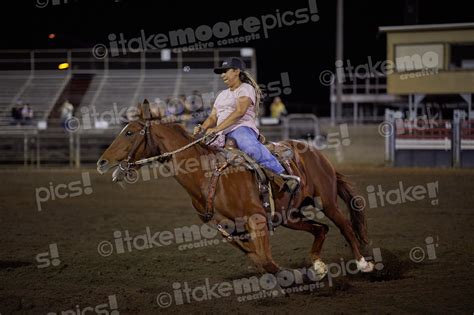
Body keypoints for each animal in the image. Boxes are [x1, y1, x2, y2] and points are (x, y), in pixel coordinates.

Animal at [97, 100, 374, 278]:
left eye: (130, 132)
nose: (101, 162)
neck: (208, 175)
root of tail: (316, 154)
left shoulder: (257, 220)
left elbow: (264, 259)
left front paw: (291, 275)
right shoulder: (228, 230)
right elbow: (259, 259)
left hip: (326, 201)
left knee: (345, 226)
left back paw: (362, 263)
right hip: (289, 216)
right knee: (321, 229)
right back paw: (317, 265)